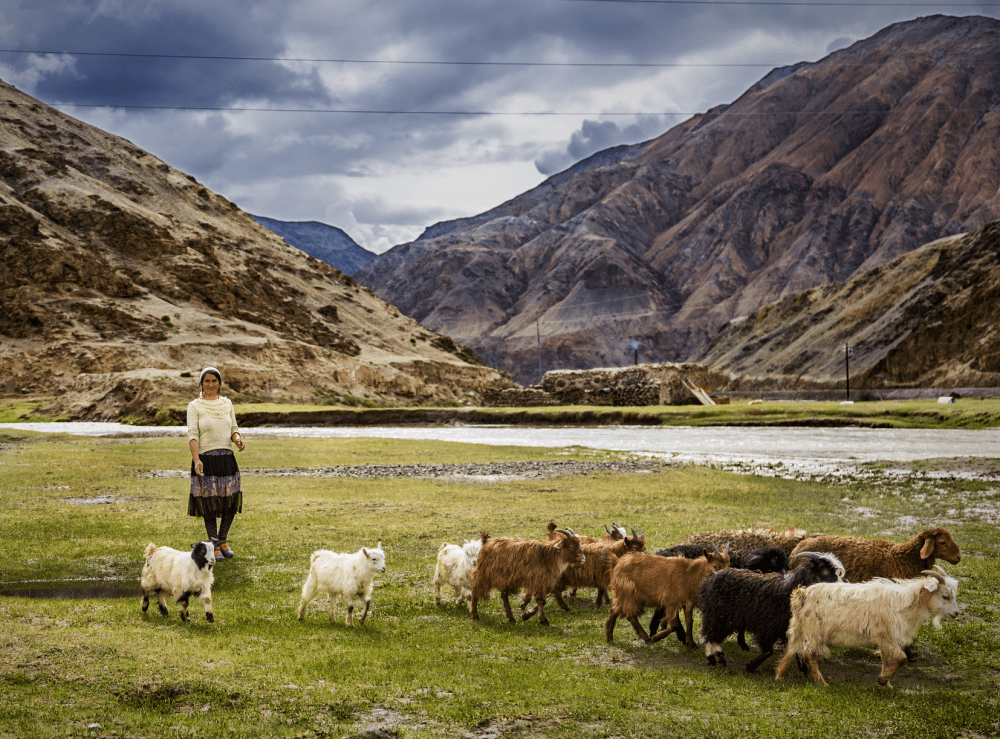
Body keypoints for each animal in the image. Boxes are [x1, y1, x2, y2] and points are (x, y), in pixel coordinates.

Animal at [772, 568, 960, 688]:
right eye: (945, 596)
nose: (957, 613)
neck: (903, 603)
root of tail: (802, 593)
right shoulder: (888, 637)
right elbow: (902, 659)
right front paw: (883, 679)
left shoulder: (884, 638)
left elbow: (886, 660)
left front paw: (887, 683)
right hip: (814, 630)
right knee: (809, 653)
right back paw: (822, 682)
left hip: (799, 627)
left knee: (791, 650)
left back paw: (779, 676)